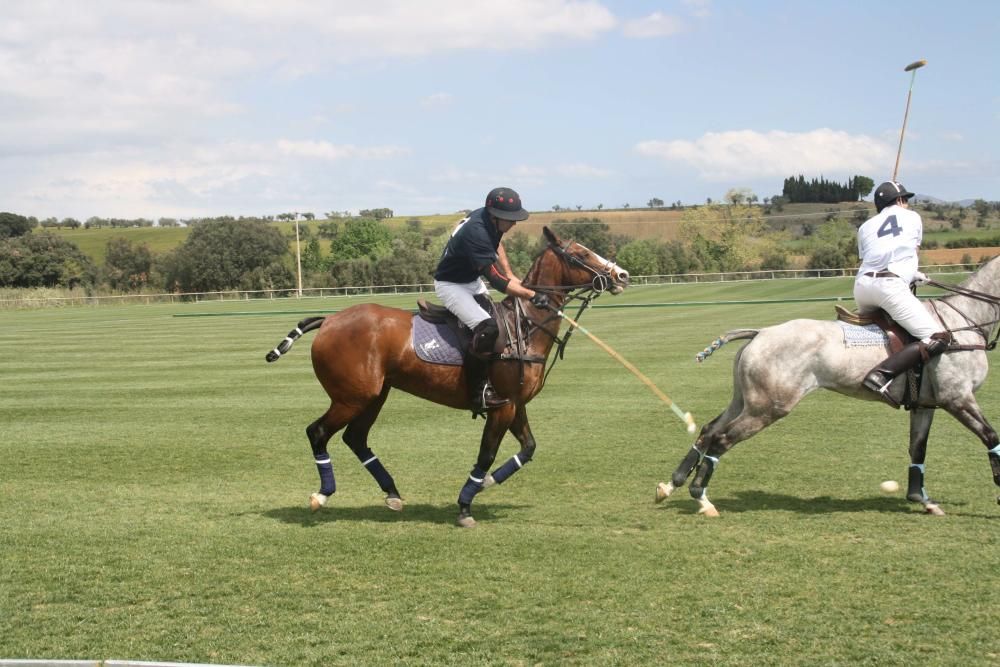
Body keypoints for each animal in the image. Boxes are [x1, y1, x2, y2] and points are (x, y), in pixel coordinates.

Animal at [264, 228, 624, 528]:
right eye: (581, 253)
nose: (621, 275)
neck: (525, 326)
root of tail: (328, 321)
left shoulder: (516, 404)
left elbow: (529, 448)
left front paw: (488, 483)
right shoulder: (502, 405)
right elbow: (486, 454)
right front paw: (465, 506)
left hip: (374, 395)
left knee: (356, 438)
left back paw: (392, 494)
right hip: (351, 396)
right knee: (318, 431)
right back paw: (322, 494)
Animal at [656, 254, 1000, 516]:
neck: (965, 322)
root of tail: (760, 332)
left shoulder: (926, 404)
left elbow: (918, 448)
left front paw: (923, 501)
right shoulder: (958, 398)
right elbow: (991, 437)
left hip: (746, 399)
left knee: (709, 430)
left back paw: (671, 484)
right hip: (769, 407)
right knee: (722, 439)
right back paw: (702, 498)